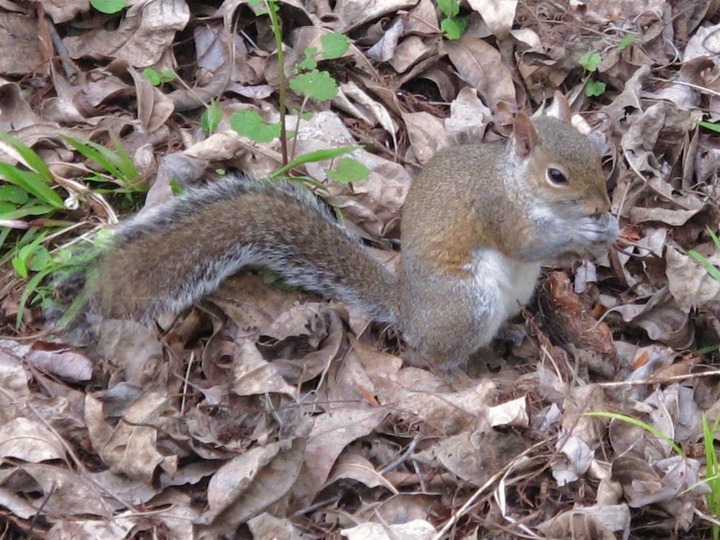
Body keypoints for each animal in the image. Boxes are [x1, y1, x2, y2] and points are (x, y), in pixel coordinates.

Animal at [57, 95, 620, 370]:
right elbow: (526, 243)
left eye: (597, 158)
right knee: (427, 356)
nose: (601, 204)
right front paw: (581, 234)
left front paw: (607, 227)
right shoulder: (496, 210)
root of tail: (407, 309)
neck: (514, 181)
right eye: (556, 175)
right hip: (466, 304)